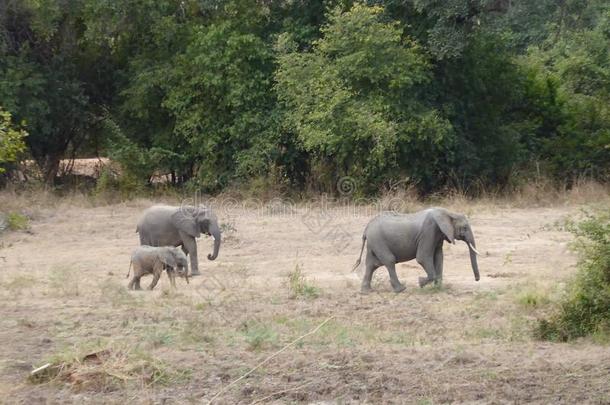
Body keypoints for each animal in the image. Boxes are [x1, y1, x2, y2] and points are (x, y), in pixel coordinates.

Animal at [352, 207, 480, 292]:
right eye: (464, 228)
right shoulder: (429, 232)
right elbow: (423, 258)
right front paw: (420, 283)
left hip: (374, 243)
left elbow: (439, 257)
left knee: (371, 264)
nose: (477, 279)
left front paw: (438, 288)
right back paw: (401, 289)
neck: (448, 212)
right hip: (378, 241)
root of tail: (366, 228)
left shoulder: (438, 235)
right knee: (389, 260)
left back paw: (367, 292)